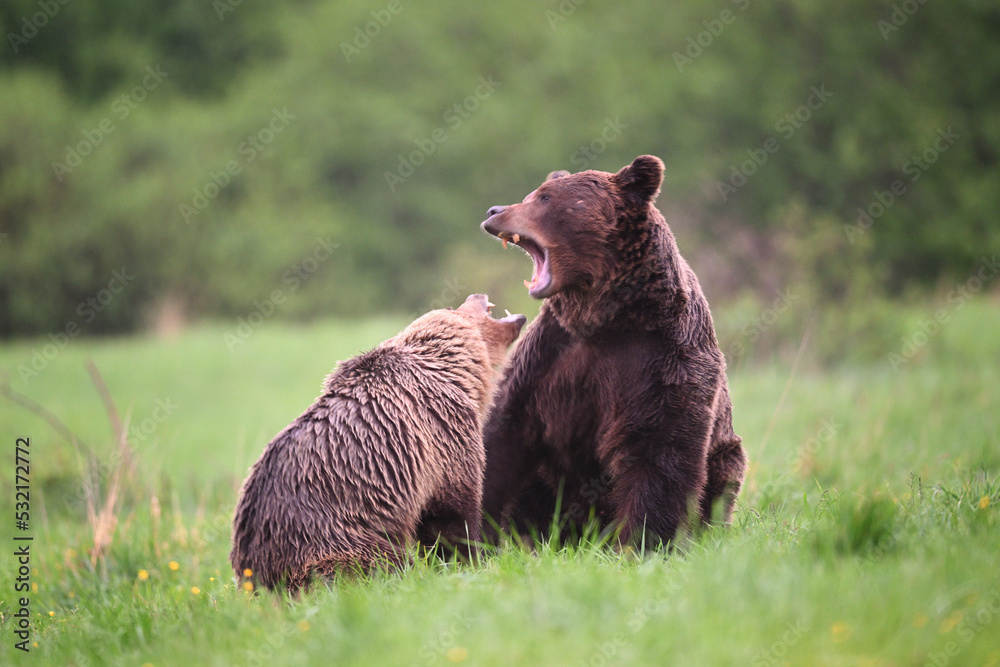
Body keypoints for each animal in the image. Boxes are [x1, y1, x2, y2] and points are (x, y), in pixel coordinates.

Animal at [230, 294, 526, 591]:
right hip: (331, 538)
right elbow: (450, 518)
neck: (455, 371)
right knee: (378, 562)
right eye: (456, 305)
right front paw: (469, 563)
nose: (476, 295)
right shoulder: (443, 439)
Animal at [479, 155, 747, 546]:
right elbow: (505, 434)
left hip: (725, 455)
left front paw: (641, 540)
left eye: (544, 197)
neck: (604, 319)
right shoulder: (550, 357)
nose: (494, 211)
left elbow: (659, 449)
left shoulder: (660, 359)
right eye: (534, 193)